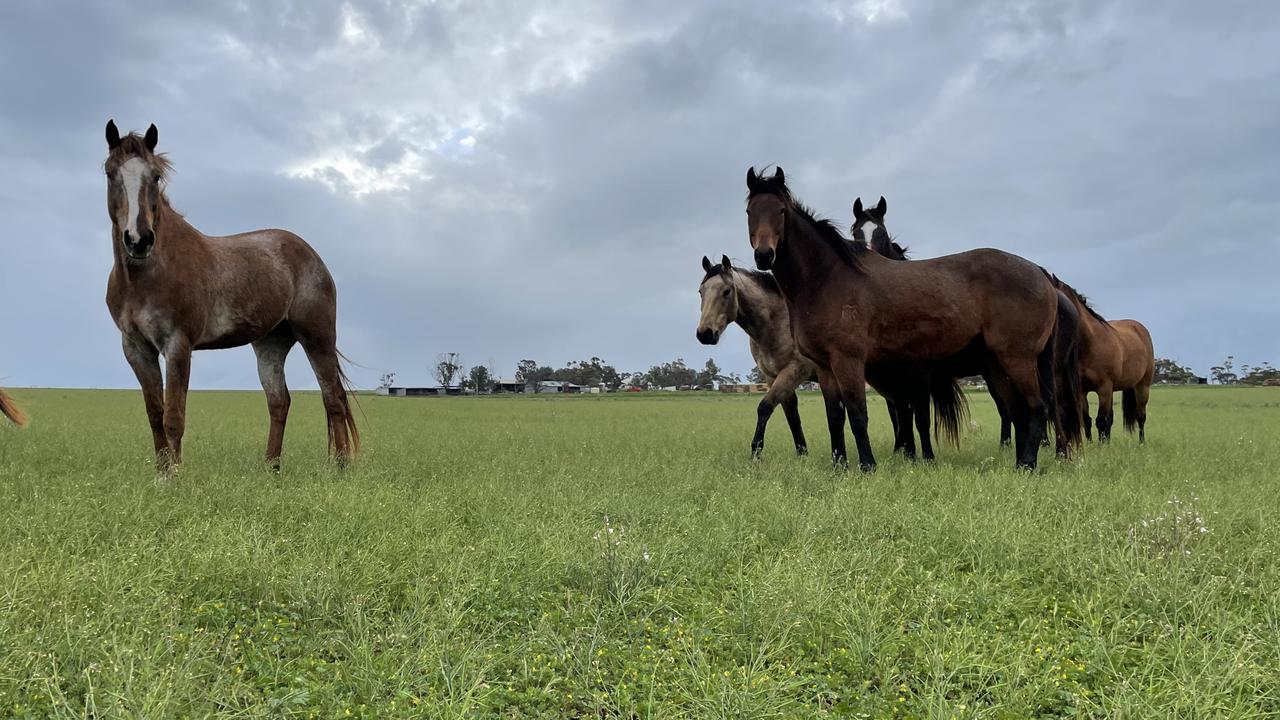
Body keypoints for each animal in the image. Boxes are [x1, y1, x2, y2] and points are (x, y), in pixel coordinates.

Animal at [101, 119, 355, 471]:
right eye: (111, 173)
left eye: (155, 176)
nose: (138, 240)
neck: (148, 275)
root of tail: (312, 256)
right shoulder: (136, 349)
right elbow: (155, 415)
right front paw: (161, 473)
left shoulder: (177, 345)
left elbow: (173, 417)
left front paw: (174, 477)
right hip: (271, 343)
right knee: (279, 401)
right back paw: (271, 469)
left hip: (316, 337)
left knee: (333, 398)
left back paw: (340, 469)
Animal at [742, 167, 1080, 471]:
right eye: (749, 211)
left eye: (781, 211)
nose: (764, 255)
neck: (827, 279)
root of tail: (1041, 275)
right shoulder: (825, 367)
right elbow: (835, 418)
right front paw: (840, 466)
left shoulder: (850, 362)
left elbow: (859, 414)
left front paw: (868, 466)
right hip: (998, 365)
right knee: (1020, 411)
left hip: (1018, 359)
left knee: (1038, 408)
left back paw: (1028, 464)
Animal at [1044, 275, 1157, 440]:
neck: (1090, 343)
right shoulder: (1082, 391)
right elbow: (1087, 420)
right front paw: (1092, 443)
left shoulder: (1104, 387)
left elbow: (1101, 420)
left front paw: (1100, 444)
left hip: (1142, 386)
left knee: (1140, 416)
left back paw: (1141, 442)